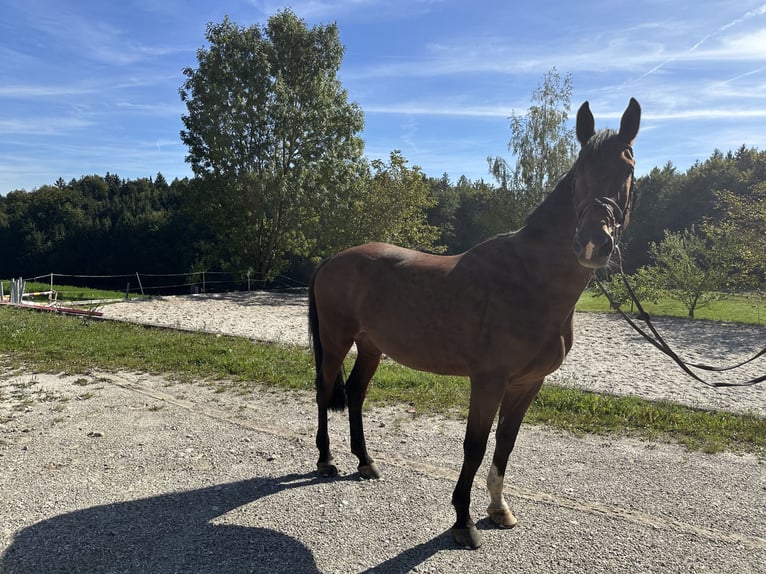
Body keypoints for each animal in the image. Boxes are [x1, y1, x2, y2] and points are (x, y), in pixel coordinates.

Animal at [308, 98, 641, 549]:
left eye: (627, 166)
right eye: (580, 171)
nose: (593, 242)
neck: (529, 280)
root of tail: (334, 259)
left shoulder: (526, 383)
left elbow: (505, 444)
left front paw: (499, 510)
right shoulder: (488, 381)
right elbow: (475, 446)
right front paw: (463, 521)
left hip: (371, 345)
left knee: (356, 394)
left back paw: (366, 462)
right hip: (335, 340)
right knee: (325, 392)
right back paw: (326, 460)